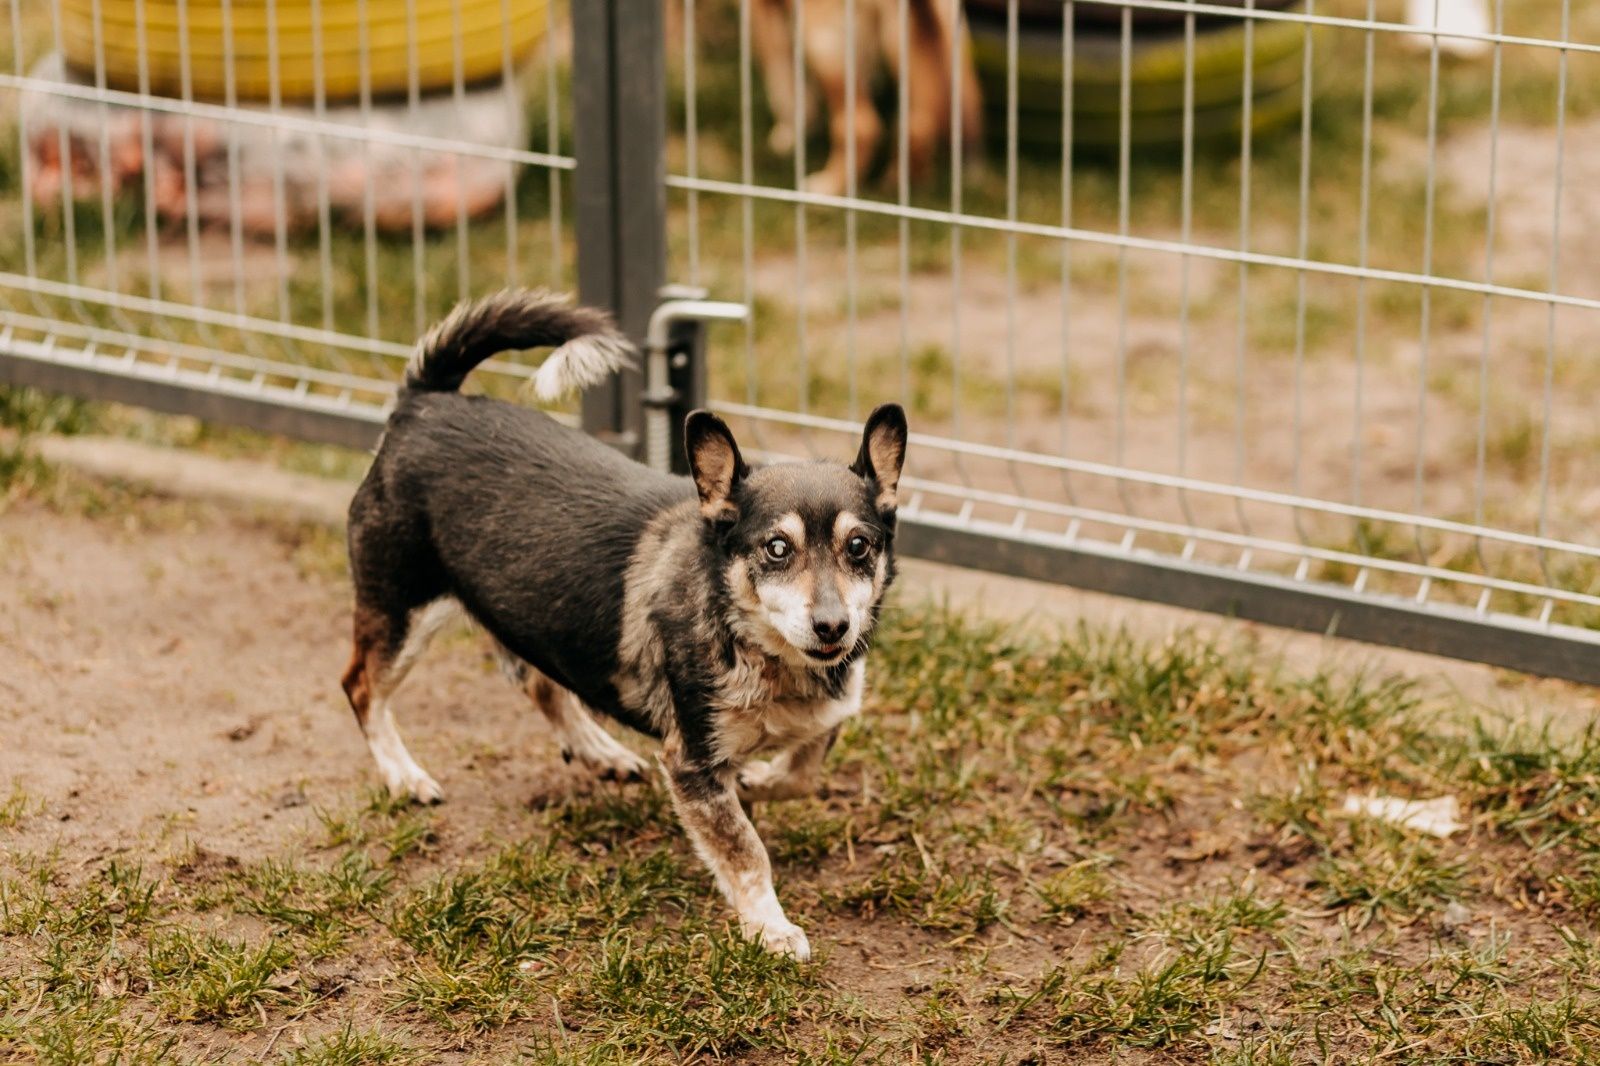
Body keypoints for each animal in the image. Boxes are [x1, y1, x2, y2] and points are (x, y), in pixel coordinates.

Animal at [342, 288, 908, 953]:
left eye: (858, 547)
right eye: (776, 549)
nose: (832, 627)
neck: (760, 649)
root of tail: (423, 403)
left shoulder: (826, 716)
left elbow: (803, 772)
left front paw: (762, 779)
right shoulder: (690, 763)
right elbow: (745, 852)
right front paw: (770, 927)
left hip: (533, 610)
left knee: (540, 682)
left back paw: (598, 750)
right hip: (403, 611)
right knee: (361, 687)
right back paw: (404, 775)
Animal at [752, 0, 979, 196]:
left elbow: (782, 82)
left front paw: (788, 134)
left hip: (824, 40)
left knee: (861, 124)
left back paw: (831, 184)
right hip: (930, 37)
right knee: (923, 121)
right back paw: (905, 180)